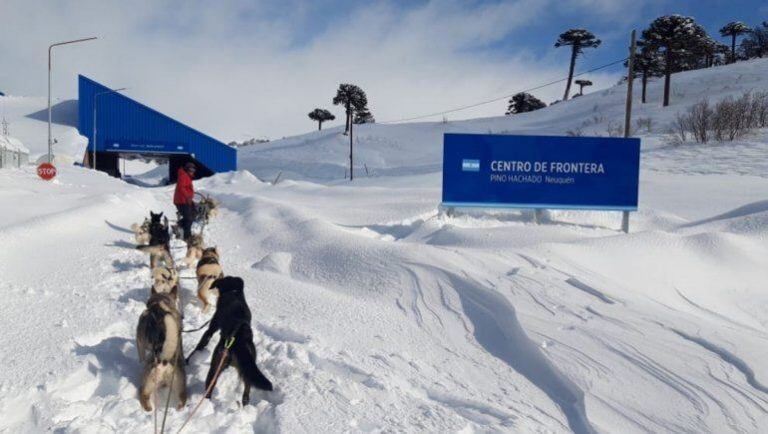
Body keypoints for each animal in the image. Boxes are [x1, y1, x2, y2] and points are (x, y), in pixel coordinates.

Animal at [186, 276, 272, 406]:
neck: (233, 292)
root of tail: (240, 339)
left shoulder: (212, 327)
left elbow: (201, 344)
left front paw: (188, 360)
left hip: (216, 365)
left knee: (209, 389)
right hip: (247, 369)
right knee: (247, 390)